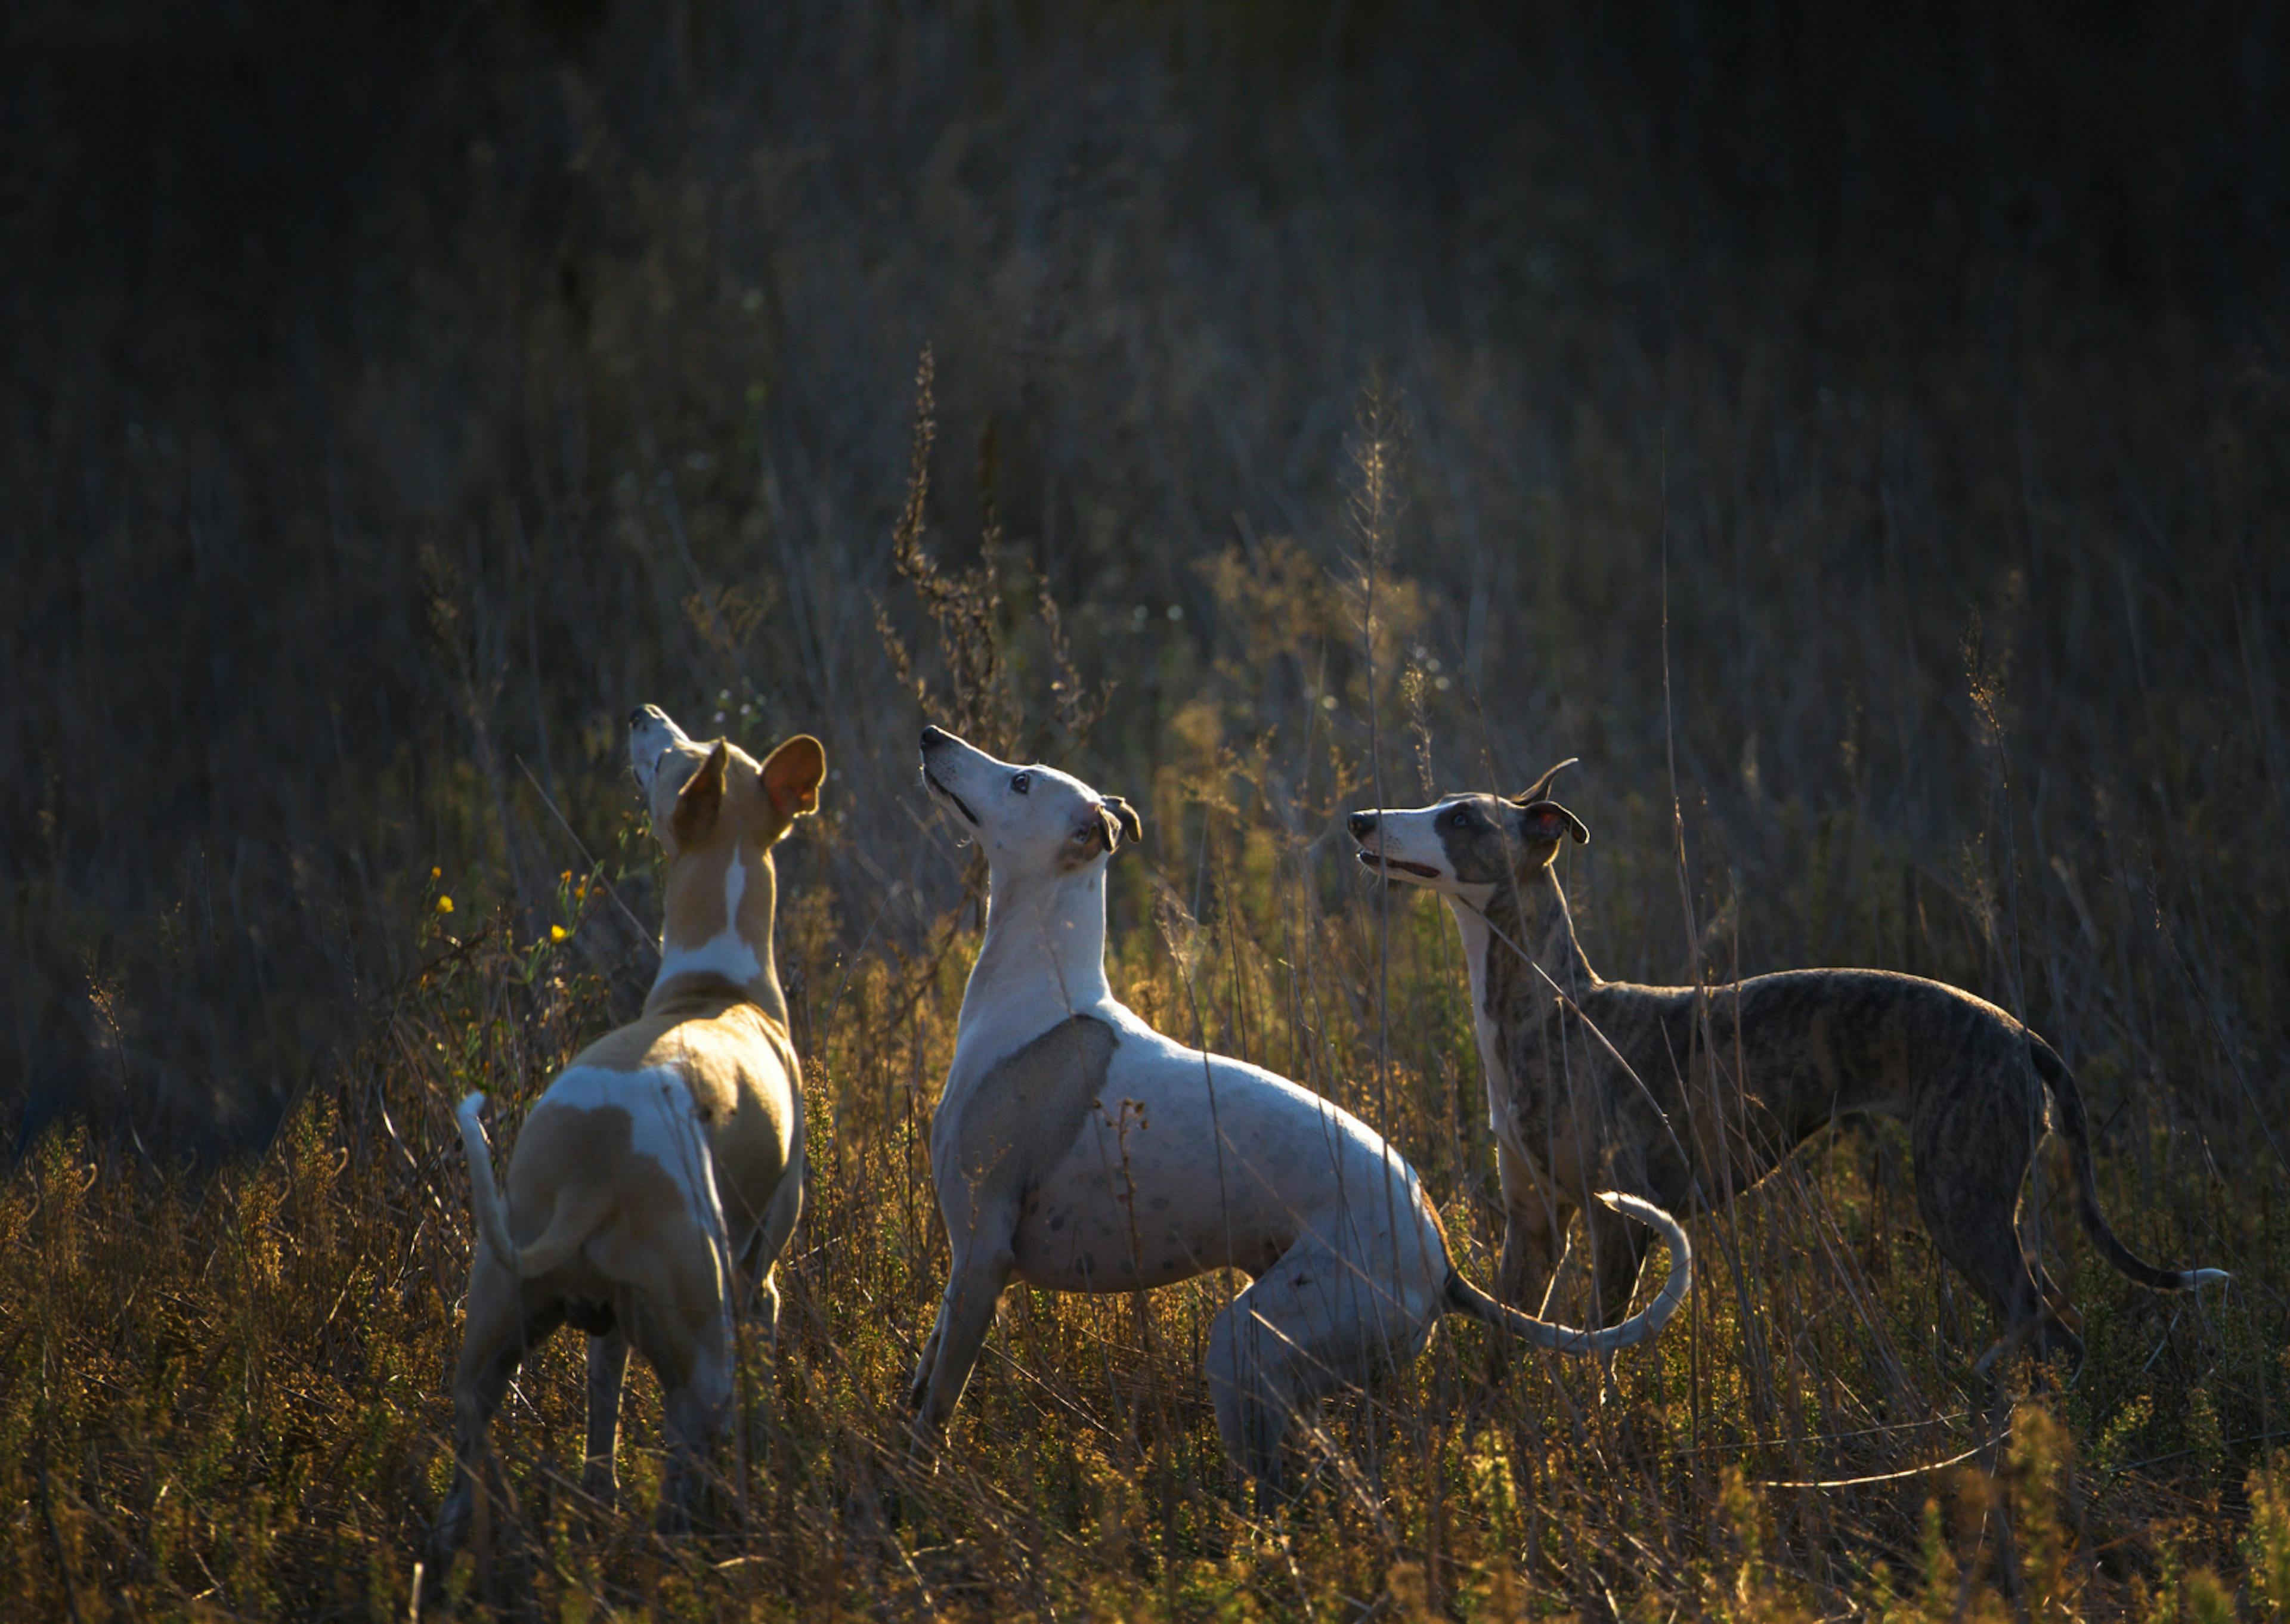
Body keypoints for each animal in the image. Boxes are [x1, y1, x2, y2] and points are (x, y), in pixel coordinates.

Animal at [430, 701, 824, 1576]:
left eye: (675, 752)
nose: (644, 715)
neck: (715, 988)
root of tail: (593, 1168)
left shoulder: (604, 1325)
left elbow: (600, 1411)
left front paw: (597, 1490)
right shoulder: (763, 1276)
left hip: (494, 1323)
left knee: (470, 1437)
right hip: (705, 1347)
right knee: (688, 1465)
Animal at [916, 724, 1703, 1511]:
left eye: (1021, 781)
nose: (931, 735)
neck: (1043, 995)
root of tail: (1442, 1262)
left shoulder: (983, 1255)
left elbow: (937, 1407)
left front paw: (913, 1491)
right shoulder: (963, 1271)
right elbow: (922, 1380)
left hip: (1250, 1342)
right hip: (1291, 1370)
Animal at [1346, 765, 2226, 1365]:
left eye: (1461, 816)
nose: (1358, 820)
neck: (1557, 1007)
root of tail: (2017, 1033)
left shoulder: (1618, 1224)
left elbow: (1602, 1357)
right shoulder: (1531, 1229)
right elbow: (1507, 1350)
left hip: (1962, 1203)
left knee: (2055, 1334)